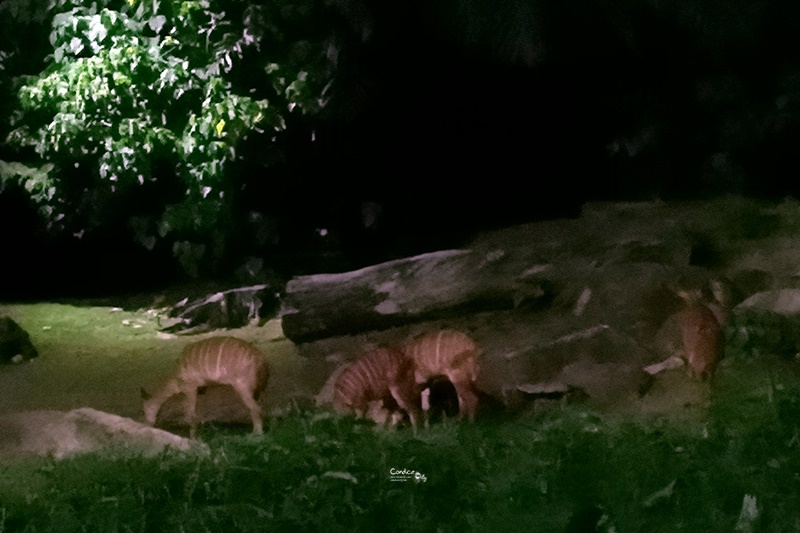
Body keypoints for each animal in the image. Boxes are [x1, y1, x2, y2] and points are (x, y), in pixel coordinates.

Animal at [142, 336, 270, 436]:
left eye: (144, 410)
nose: (146, 426)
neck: (176, 378)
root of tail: (261, 358)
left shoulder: (190, 387)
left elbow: (191, 415)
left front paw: (194, 440)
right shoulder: (200, 390)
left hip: (242, 386)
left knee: (255, 408)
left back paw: (256, 435)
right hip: (256, 389)